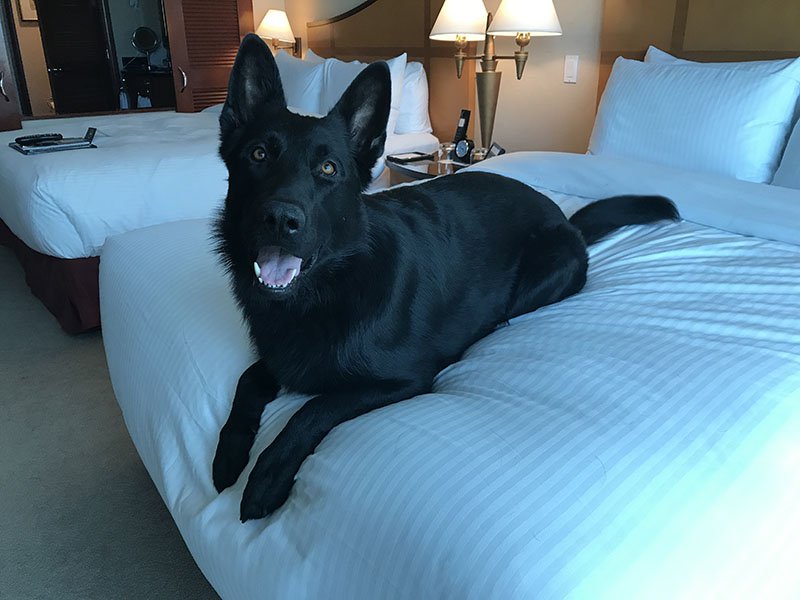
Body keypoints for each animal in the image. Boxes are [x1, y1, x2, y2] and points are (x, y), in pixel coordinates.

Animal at [211, 34, 676, 520]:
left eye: (328, 169)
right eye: (258, 155)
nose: (280, 219)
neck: (322, 292)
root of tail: (567, 221)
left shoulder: (403, 380)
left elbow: (314, 408)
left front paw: (267, 473)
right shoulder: (279, 358)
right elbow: (248, 380)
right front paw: (229, 454)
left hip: (543, 273)